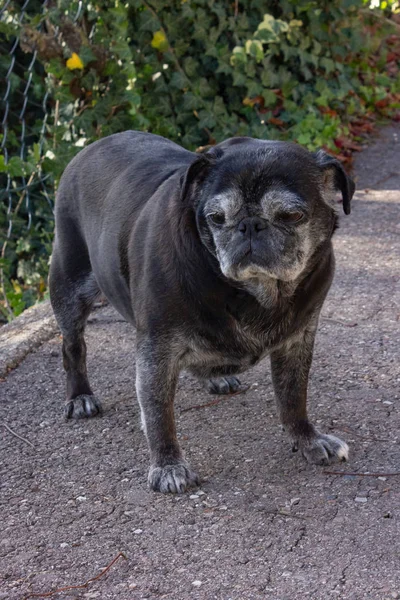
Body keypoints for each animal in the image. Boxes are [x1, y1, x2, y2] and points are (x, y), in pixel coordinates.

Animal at [50, 130, 356, 492]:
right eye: (216, 218)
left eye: (292, 216)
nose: (250, 225)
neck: (256, 291)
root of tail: (92, 147)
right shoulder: (157, 348)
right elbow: (158, 410)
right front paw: (168, 464)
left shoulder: (298, 340)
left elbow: (294, 396)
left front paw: (308, 439)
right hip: (71, 288)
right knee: (73, 345)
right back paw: (80, 395)